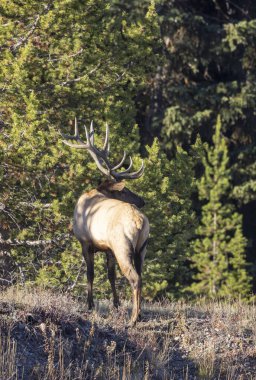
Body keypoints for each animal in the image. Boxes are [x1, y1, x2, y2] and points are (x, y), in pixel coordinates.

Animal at [62, 119, 149, 326]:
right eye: (125, 190)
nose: (142, 201)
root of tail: (139, 221)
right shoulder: (108, 248)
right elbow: (111, 275)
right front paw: (116, 304)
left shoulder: (85, 242)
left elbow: (90, 273)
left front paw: (90, 304)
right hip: (142, 247)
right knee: (141, 275)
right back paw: (140, 314)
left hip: (122, 245)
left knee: (135, 278)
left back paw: (133, 319)